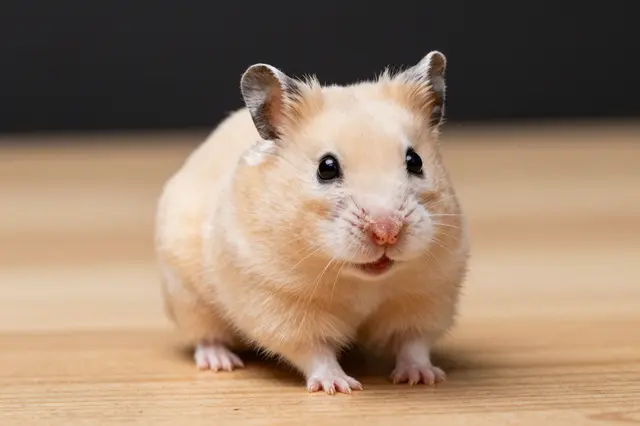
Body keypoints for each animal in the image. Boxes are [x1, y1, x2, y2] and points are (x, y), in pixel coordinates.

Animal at [155, 50, 469, 395]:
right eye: (326, 168)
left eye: (416, 161)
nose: (387, 233)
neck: (361, 280)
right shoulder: (281, 302)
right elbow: (314, 350)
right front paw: (340, 386)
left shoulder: (428, 293)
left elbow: (413, 342)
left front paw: (423, 377)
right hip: (187, 297)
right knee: (206, 335)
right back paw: (221, 362)